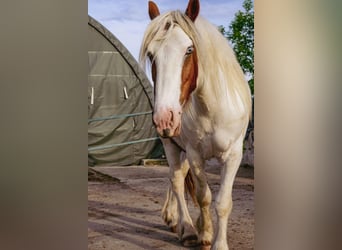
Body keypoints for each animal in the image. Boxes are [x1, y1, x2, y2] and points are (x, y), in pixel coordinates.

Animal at [139, 0, 251, 249]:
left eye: (189, 50)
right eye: (151, 55)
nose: (165, 117)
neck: (213, 109)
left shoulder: (234, 155)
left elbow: (223, 202)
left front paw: (219, 242)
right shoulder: (195, 154)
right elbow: (203, 196)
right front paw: (205, 233)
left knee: (178, 177)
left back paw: (174, 218)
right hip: (171, 145)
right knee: (177, 180)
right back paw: (187, 228)